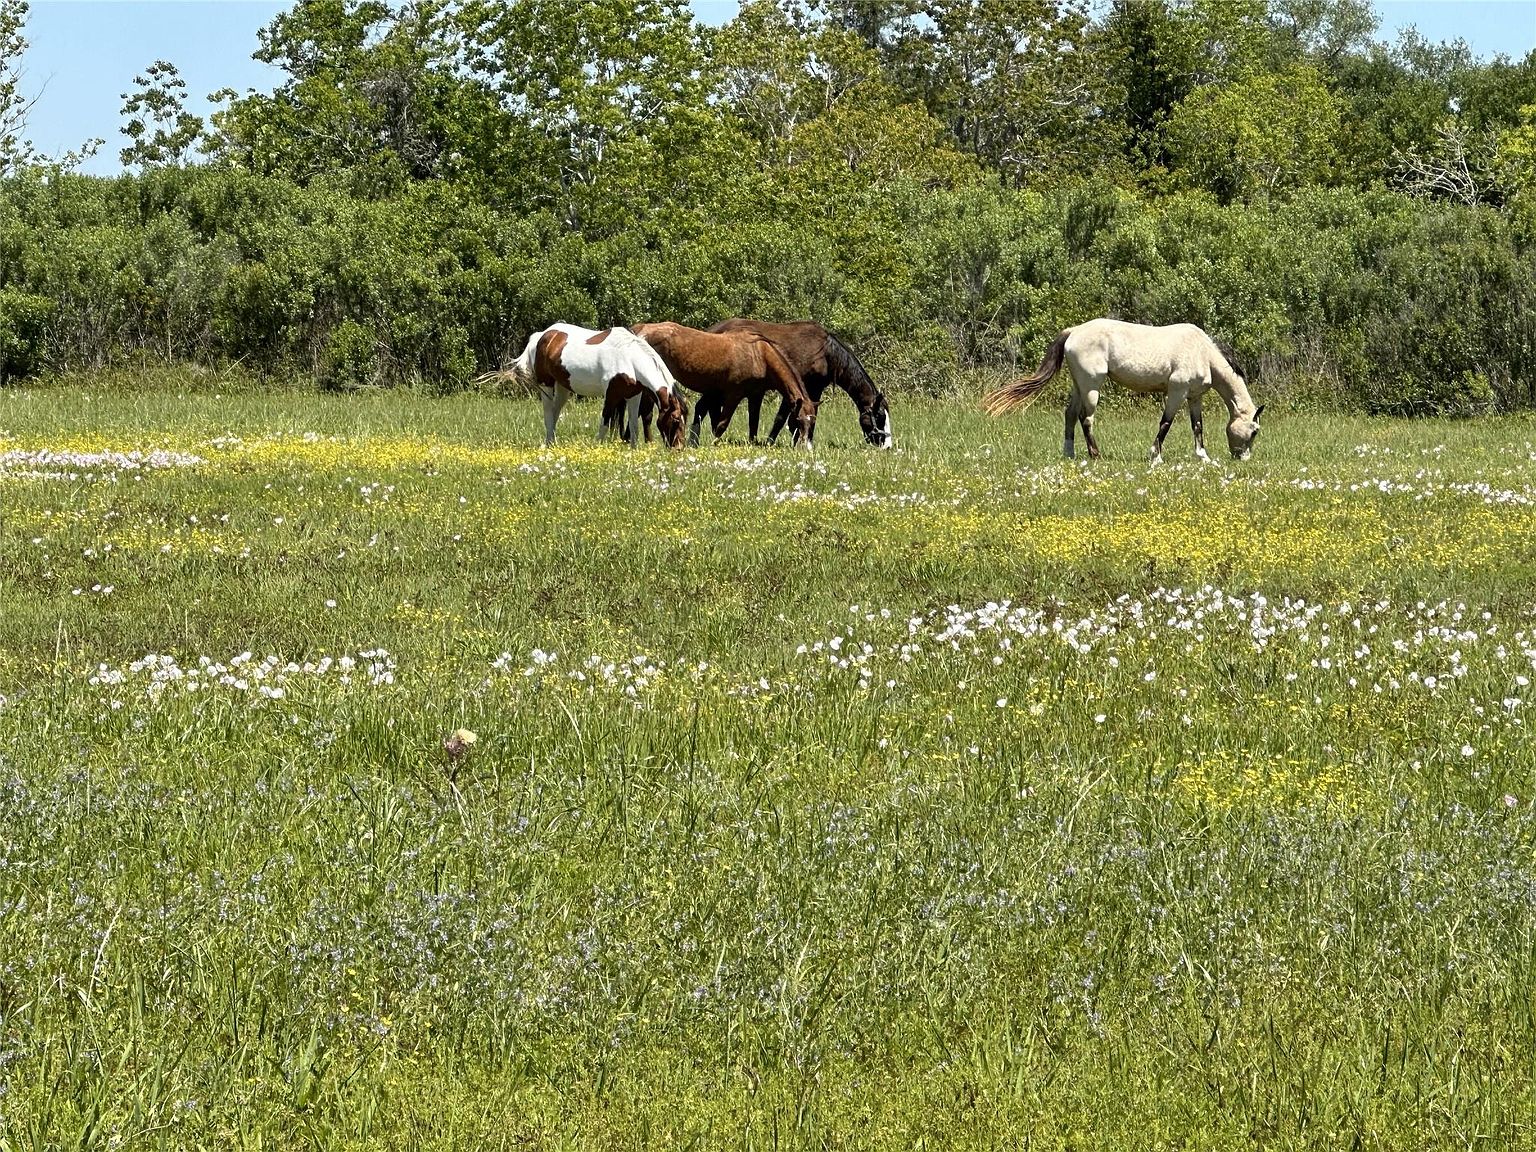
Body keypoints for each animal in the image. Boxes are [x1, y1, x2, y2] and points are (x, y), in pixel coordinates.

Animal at [513, 327, 688, 454]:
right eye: (676, 419)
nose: (678, 449)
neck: (629, 358)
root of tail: (544, 335)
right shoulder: (611, 395)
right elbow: (604, 423)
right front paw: (597, 448)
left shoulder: (634, 395)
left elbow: (634, 425)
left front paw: (633, 450)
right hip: (546, 385)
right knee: (549, 413)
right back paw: (549, 444)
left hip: (563, 387)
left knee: (555, 412)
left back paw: (553, 443)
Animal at [626, 327, 817, 454]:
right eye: (798, 420)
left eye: (813, 422)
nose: (805, 449)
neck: (760, 354)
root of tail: (641, 331)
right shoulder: (734, 394)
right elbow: (722, 423)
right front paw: (714, 444)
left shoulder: (755, 395)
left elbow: (753, 422)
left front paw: (752, 444)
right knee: (645, 413)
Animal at [983, 317, 1259, 463]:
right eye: (1255, 431)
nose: (1243, 458)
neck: (1201, 351)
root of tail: (1073, 332)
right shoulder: (1176, 391)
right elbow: (1165, 423)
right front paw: (1156, 456)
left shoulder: (1193, 396)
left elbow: (1197, 426)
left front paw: (1203, 456)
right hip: (1092, 387)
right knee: (1086, 418)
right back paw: (1096, 454)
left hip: (1079, 385)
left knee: (1070, 414)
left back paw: (1069, 453)